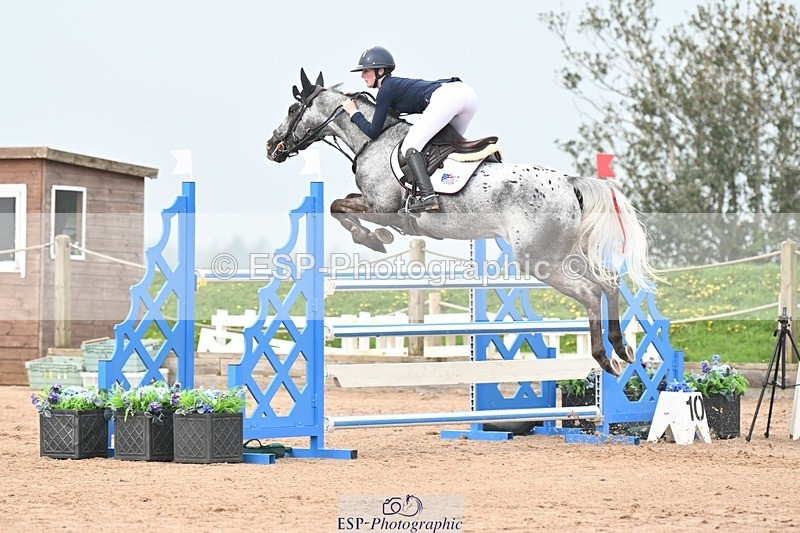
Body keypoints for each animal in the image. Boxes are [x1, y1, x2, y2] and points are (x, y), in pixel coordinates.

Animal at [264, 70, 656, 376]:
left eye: (293, 108)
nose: (271, 147)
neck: (372, 141)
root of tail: (569, 182)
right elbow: (340, 205)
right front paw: (376, 238)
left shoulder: (381, 205)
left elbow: (337, 207)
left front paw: (373, 239)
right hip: (566, 252)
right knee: (608, 282)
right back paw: (622, 349)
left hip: (540, 259)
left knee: (590, 291)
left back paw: (604, 357)